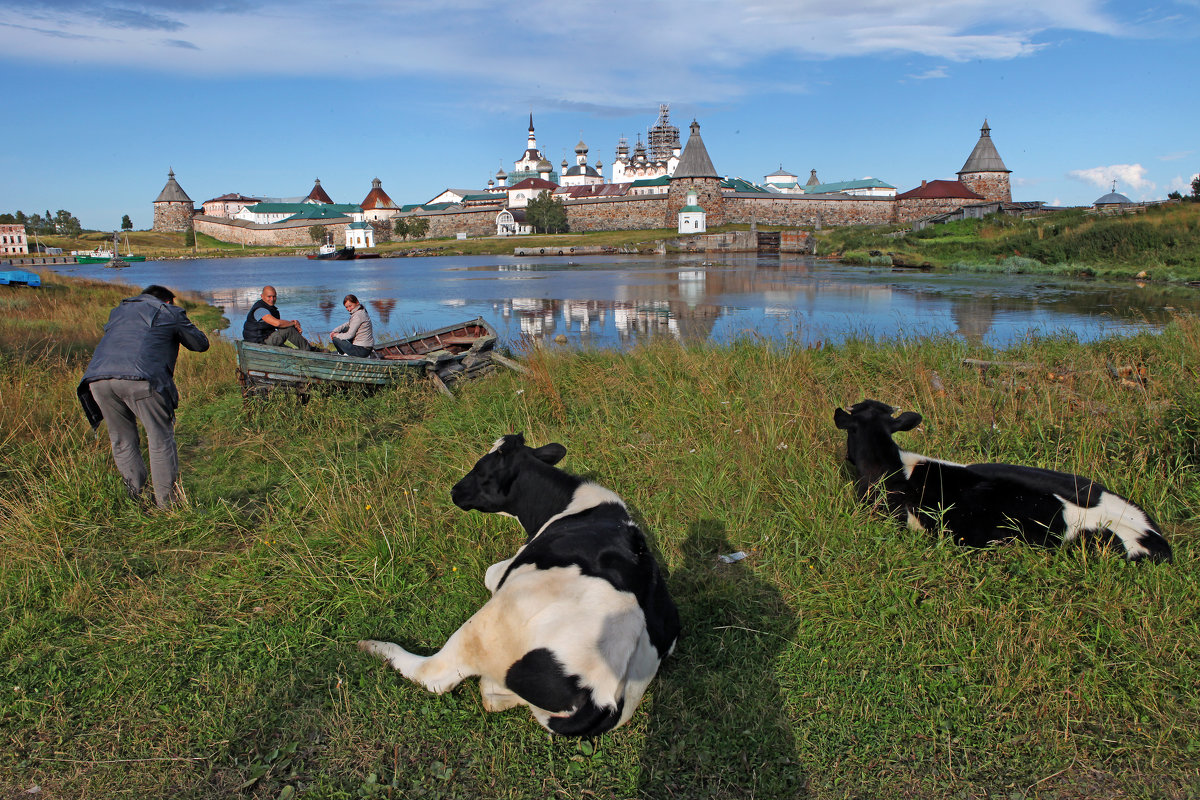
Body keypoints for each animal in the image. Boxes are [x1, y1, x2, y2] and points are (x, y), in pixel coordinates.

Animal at [355, 434, 681, 743]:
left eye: (481, 467)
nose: (454, 490)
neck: (568, 504)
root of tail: (605, 699)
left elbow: (491, 573)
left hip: (490, 624)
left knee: (436, 675)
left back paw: (375, 646)